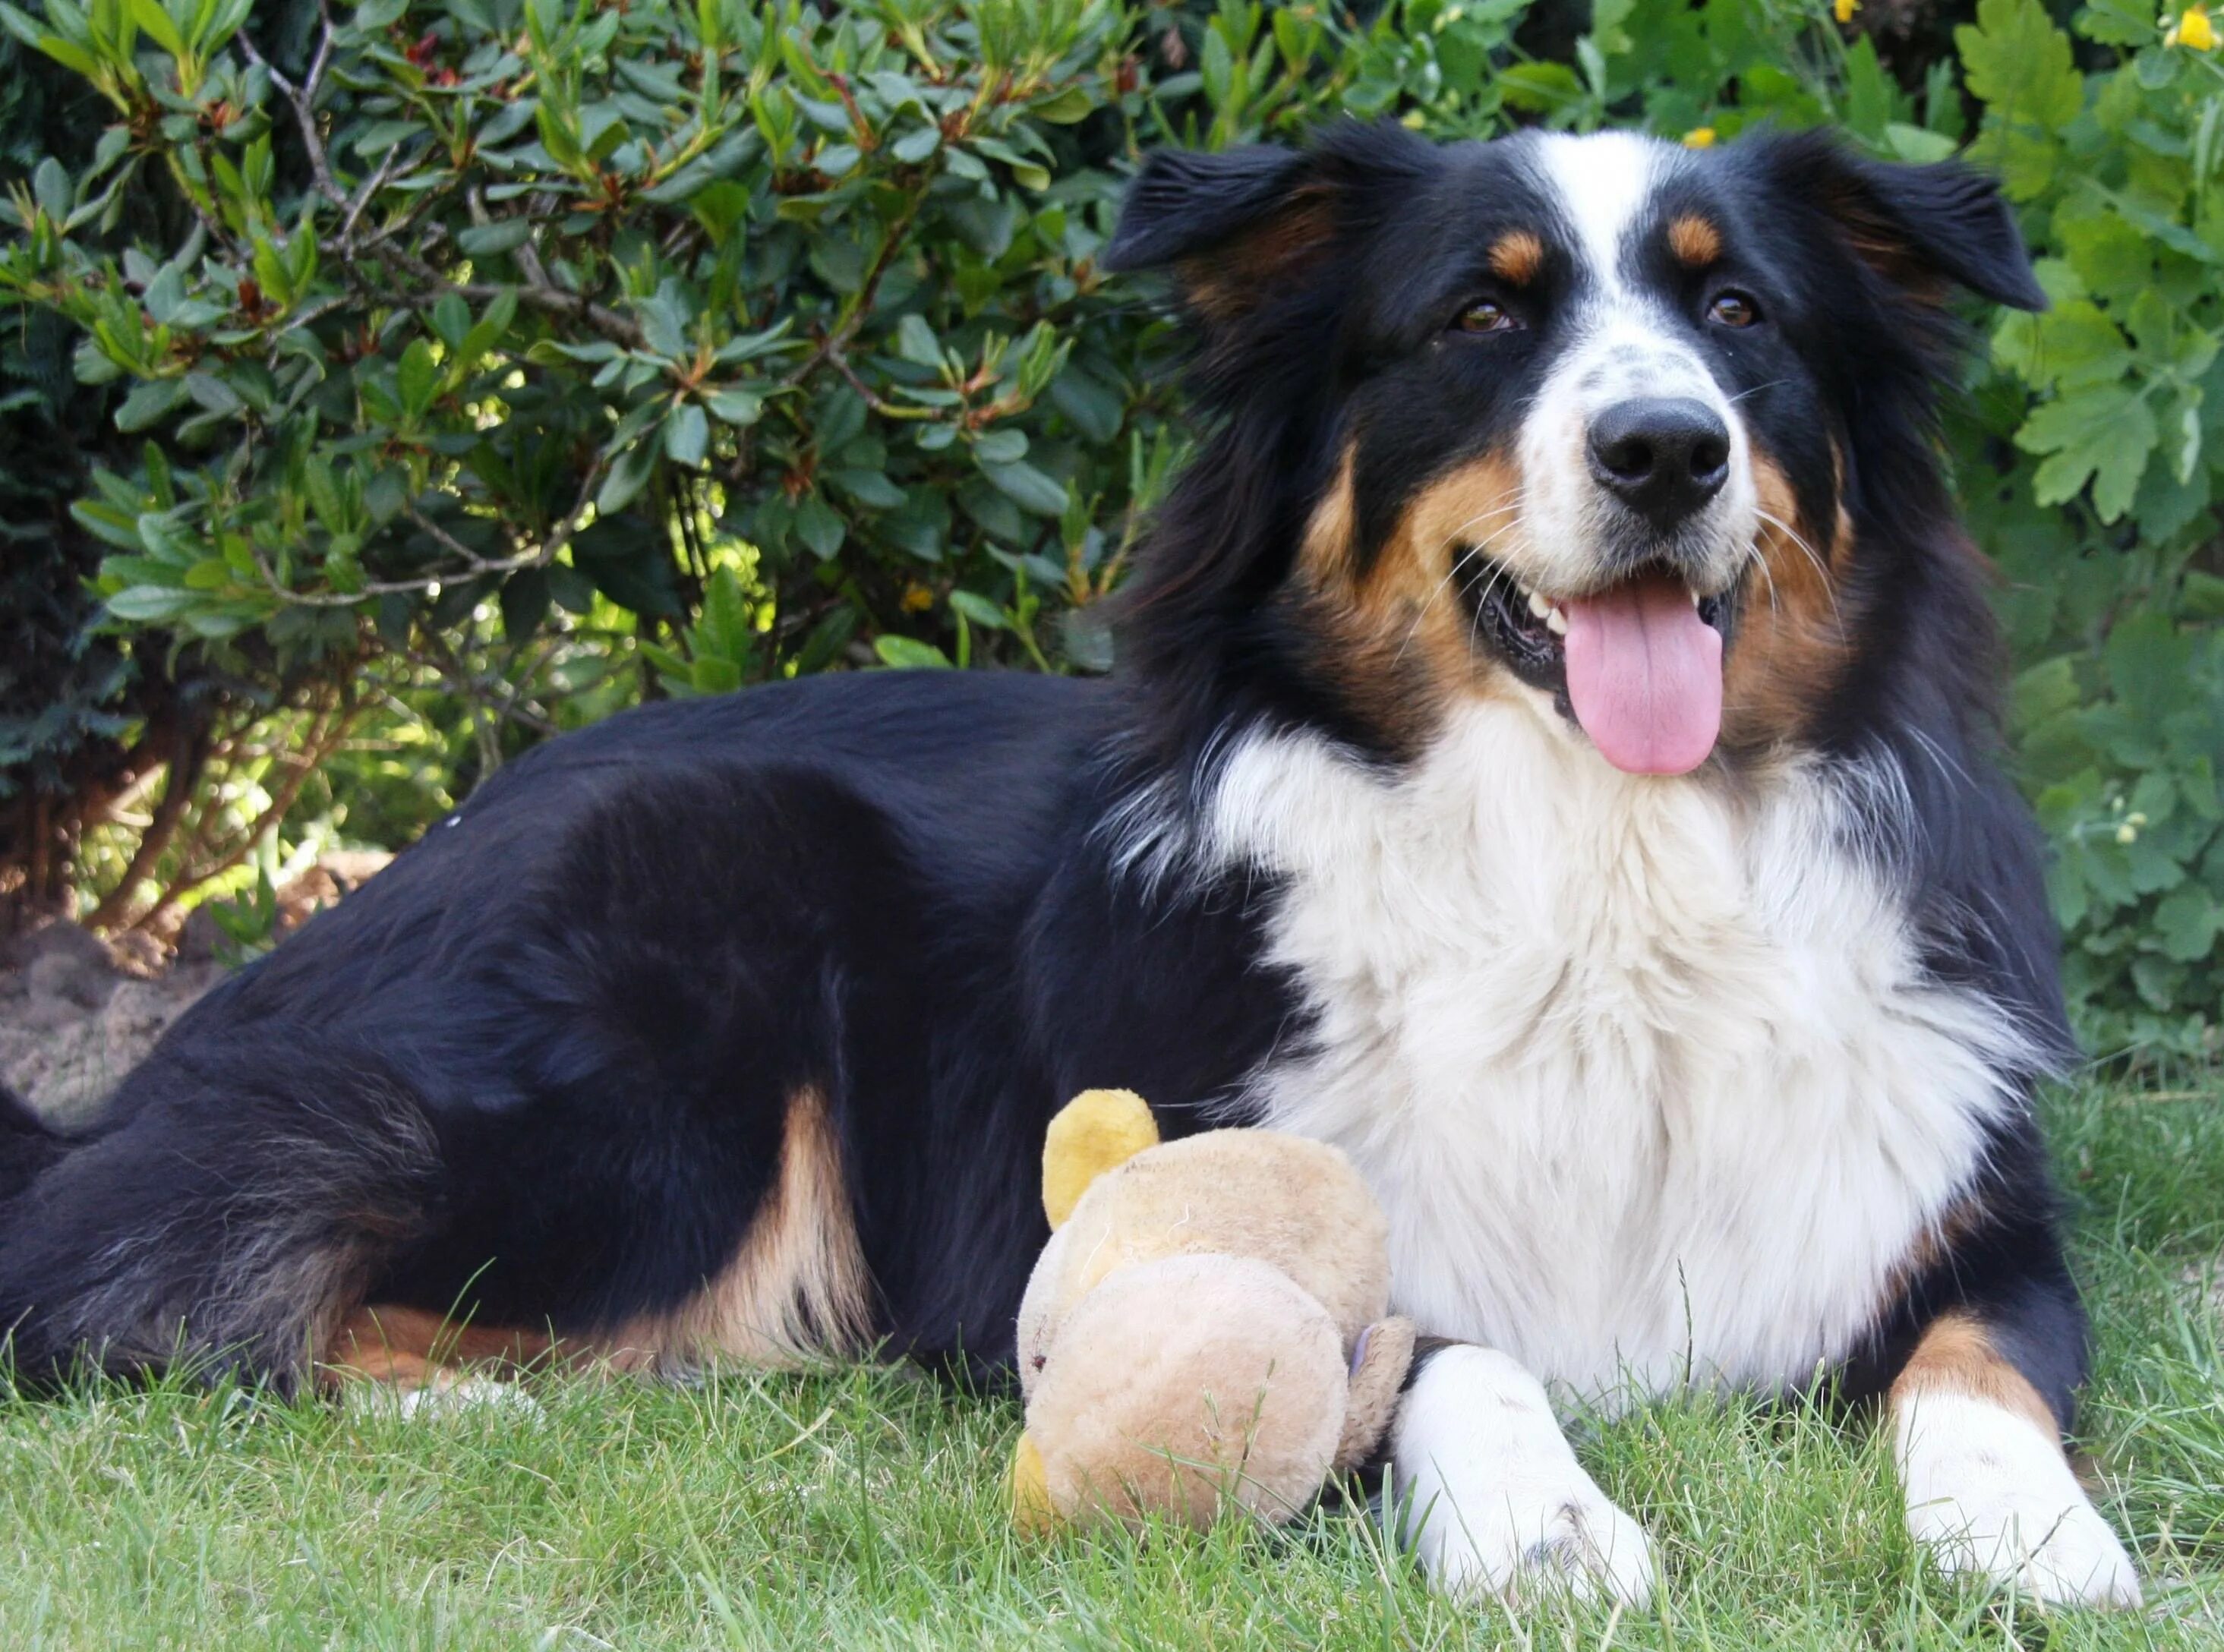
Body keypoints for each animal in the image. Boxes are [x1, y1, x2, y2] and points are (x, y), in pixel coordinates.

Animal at [0, 128, 2153, 1619]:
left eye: (1739, 316)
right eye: (1481, 314)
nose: (1663, 449)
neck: (1596, 875)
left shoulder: (1967, 1214)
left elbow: (1978, 1365)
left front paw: (2029, 1533)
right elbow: (1438, 1349)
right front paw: (1546, 1525)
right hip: (662, 1020)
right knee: (128, 1271)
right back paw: (482, 1404)